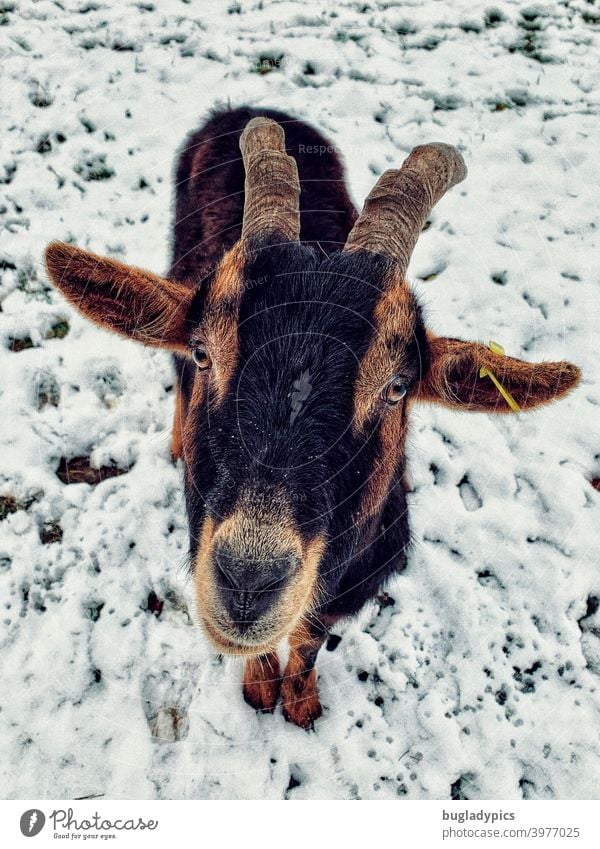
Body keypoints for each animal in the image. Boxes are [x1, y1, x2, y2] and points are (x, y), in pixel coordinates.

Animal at [44, 106, 580, 728]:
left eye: (397, 387)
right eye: (204, 351)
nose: (247, 582)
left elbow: (308, 635)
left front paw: (300, 703)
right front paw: (261, 690)